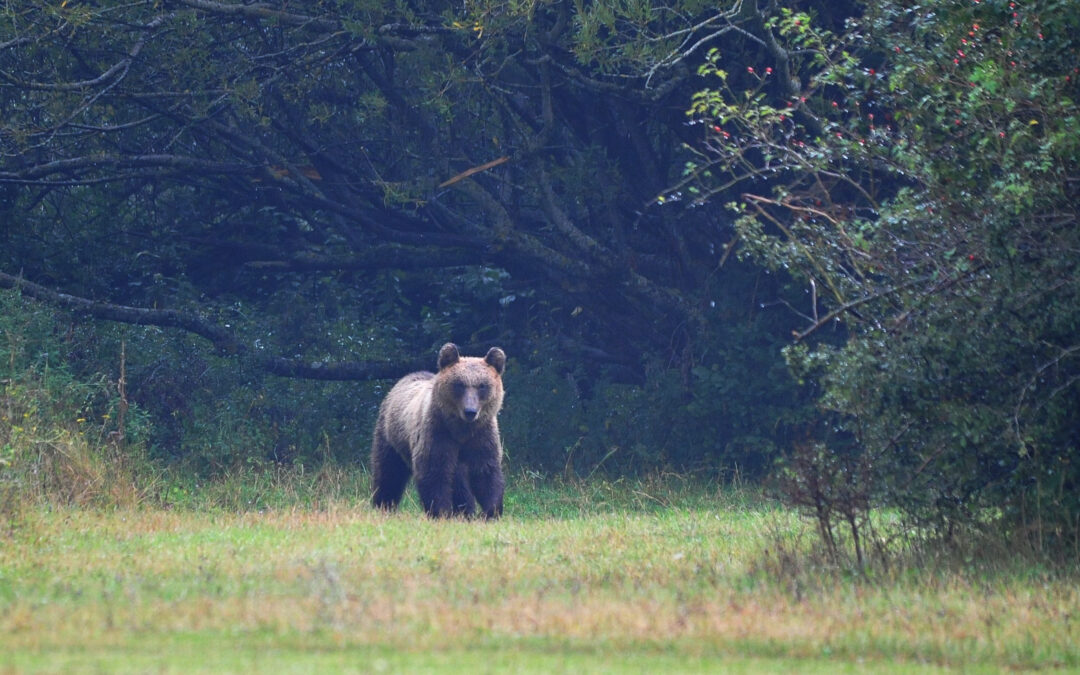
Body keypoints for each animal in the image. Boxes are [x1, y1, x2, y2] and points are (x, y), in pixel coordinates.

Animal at [370, 343, 507, 519]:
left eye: (482, 385)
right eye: (460, 384)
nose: (470, 411)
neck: (461, 430)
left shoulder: (481, 436)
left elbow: (486, 472)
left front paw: (490, 512)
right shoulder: (437, 433)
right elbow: (434, 473)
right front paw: (441, 512)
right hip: (391, 436)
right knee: (388, 472)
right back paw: (383, 504)